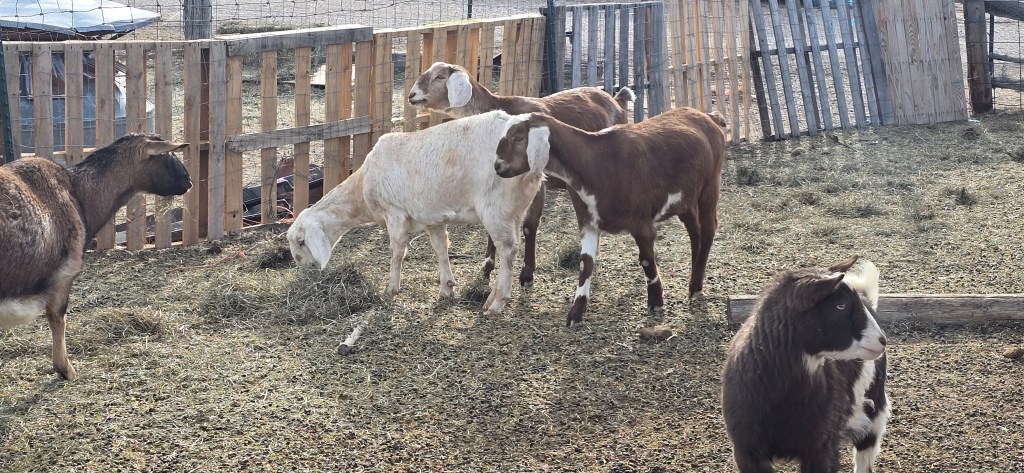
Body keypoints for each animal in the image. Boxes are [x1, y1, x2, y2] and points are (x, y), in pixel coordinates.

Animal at [0, 134, 191, 380]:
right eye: (167, 155)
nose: (188, 181)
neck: (77, 192)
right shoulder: (64, 273)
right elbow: (57, 316)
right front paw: (66, 369)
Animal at [287, 110, 544, 315]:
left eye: (301, 242)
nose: (306, 271)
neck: (362, 190)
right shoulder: (433, 217)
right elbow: (441, 248)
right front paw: (447, 288)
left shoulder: (395, 213)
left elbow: (397, 252)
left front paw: (391, 290)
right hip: (514, 208)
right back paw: (490, 298)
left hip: (496, 206)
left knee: (508, 249)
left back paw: (498, 303)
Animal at [408, 61, 634, 287]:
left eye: (440, 77)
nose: (412, 95)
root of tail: (617, 100)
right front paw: (487, 267)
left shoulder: (537, 180)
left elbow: (529, 226)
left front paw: (526, 273)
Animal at [493, 107, 725, 326]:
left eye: (518, 138)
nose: (497, 166)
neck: (598, 163)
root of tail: (709, 117)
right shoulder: (588, 222)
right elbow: (585, 265)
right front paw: (576, 313)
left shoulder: (641, 223)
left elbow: (646, 260)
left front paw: (656, 301)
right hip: (686, 199)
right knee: (695, 232)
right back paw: (695, 279)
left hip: (709, 186)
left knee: (708, 230)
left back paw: (695, 287)